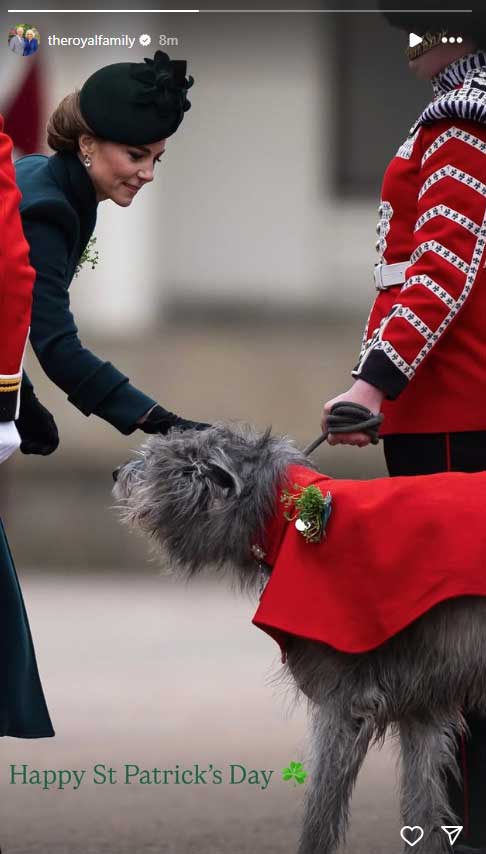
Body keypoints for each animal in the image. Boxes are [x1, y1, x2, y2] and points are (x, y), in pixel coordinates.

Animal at [113, 426, 486, 854]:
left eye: (160, 459)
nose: (117, 472)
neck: (286, 516)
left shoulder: (346, 701)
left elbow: (321, 808)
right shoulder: (422, 705)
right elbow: (421, 805)